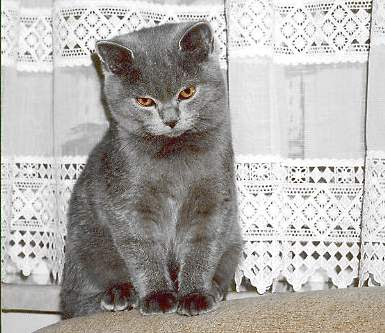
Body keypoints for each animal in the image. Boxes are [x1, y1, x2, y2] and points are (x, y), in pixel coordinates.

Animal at [59, 20, 240, 316]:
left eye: (187, 92)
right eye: (145, 101)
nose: (171, 120)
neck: (172, 155)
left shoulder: (212, 200)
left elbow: (202, 246)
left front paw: (194, 295)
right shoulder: (129, 204)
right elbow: (142, 249)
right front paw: (158, 296)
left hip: (234, 242)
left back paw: (214, 289)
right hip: (85, 243)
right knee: (79, 301)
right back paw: (119, 294)